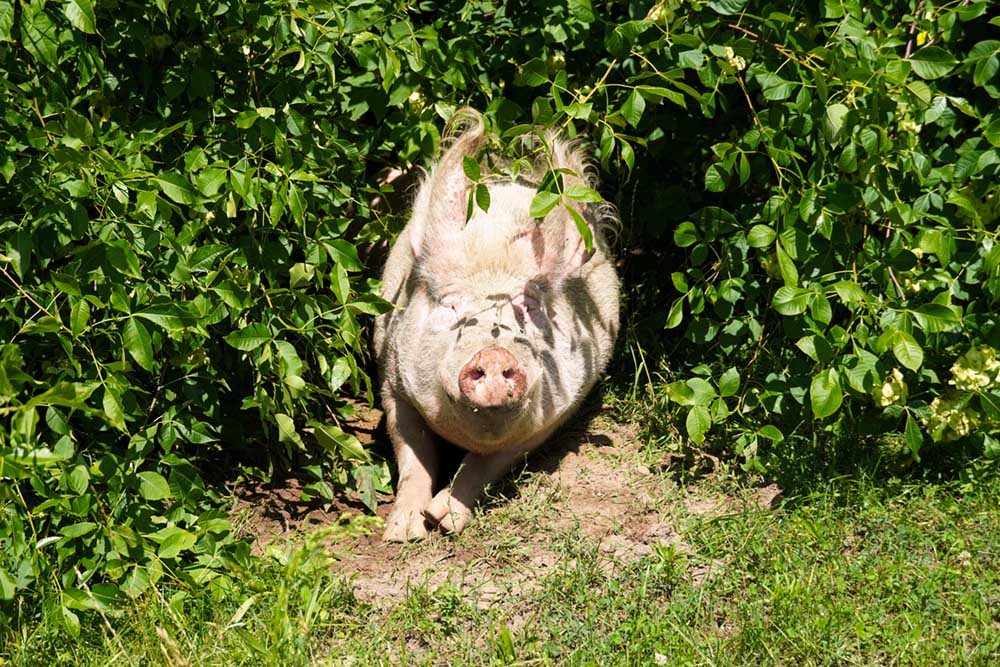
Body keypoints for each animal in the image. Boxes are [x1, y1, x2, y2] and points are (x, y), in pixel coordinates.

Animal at [374, 110, 619, 541]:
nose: (492, 353)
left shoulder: (555, 415)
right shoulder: (392, 378)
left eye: (529, 308)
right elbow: (412, 452)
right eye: (451, 303)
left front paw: (444, 519)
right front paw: (403, 532)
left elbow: (485, 464)